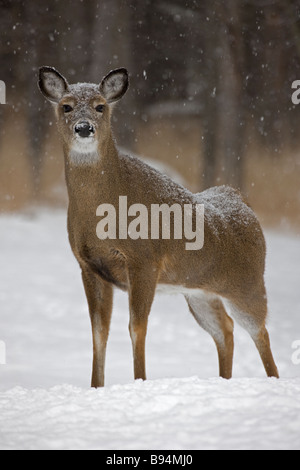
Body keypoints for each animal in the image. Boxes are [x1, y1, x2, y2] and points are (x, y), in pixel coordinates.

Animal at [37, 67, 278, 390]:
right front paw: (96, 387)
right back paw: (223, 381)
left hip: (249, 284)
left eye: (101, 106)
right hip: (199, 292)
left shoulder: (144, 259)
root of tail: (241, 200)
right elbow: (98, 331)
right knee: (225, 329)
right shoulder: (88, 265)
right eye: (66, 106)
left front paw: (140, 381)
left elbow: (136, 327)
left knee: (260, 331)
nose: (84, 128)